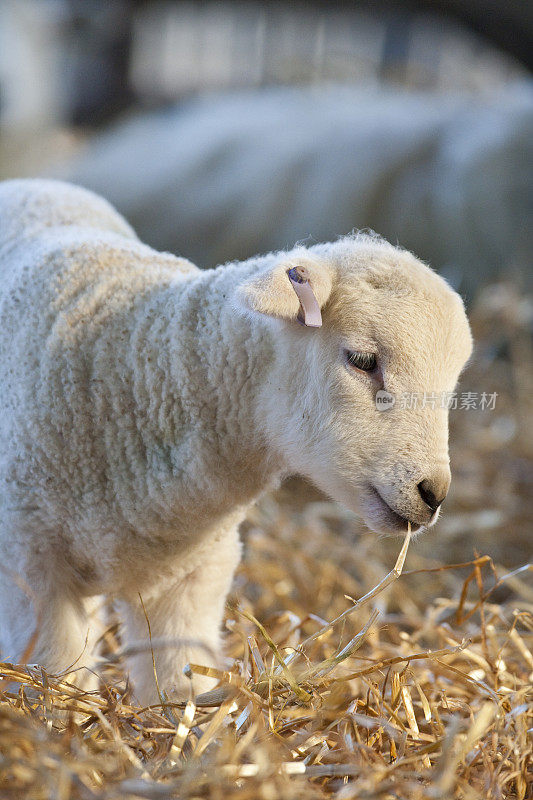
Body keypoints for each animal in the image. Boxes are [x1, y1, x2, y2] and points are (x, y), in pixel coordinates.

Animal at [0, 180, 472, 700]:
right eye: (363, 360)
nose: (433, 493)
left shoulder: (194, 576)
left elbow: (177, 680)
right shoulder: (30, 566)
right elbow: (54, 670)